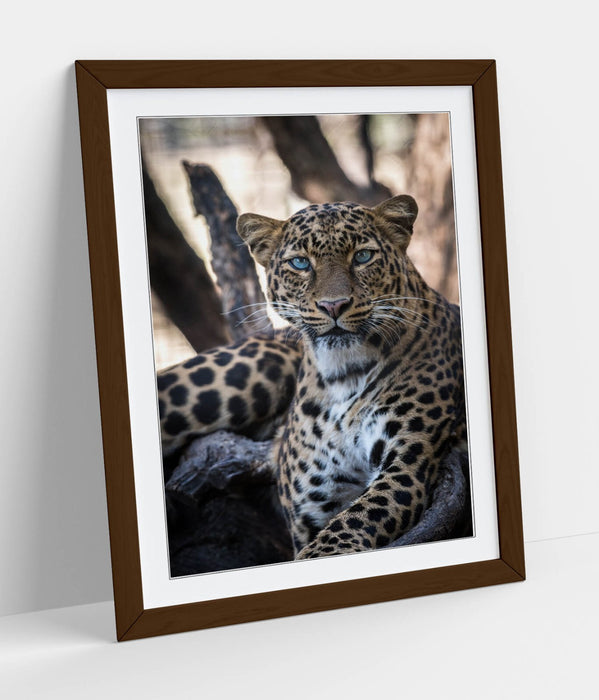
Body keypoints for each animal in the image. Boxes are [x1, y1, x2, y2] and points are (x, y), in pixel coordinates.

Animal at [158, 195, 466, 560]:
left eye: (363, 256)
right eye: (301, 263)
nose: (334, 306)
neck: (343, 376)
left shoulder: (407, 469)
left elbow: (347, 527)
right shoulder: (314, 503)